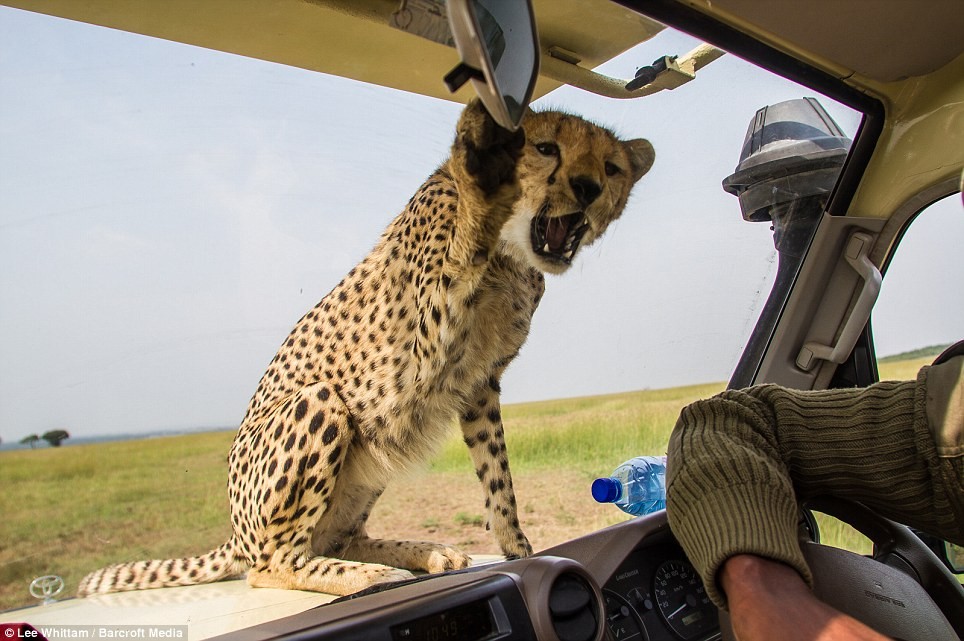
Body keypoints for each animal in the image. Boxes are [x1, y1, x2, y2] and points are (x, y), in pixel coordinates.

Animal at [79, 99, 652, 596]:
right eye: (546, 148)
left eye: (611, 167)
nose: (587, 187)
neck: (513, 254)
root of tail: (236, 535)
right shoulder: (417, 361)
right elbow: (462, 250)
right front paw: (480, 177)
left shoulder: (479, 381)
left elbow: (497, 474)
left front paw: (520, 549)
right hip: (321, 404)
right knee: (272, 564)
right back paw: (368, 576)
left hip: (371, 455)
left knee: (340, 537)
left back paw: (422, 552)